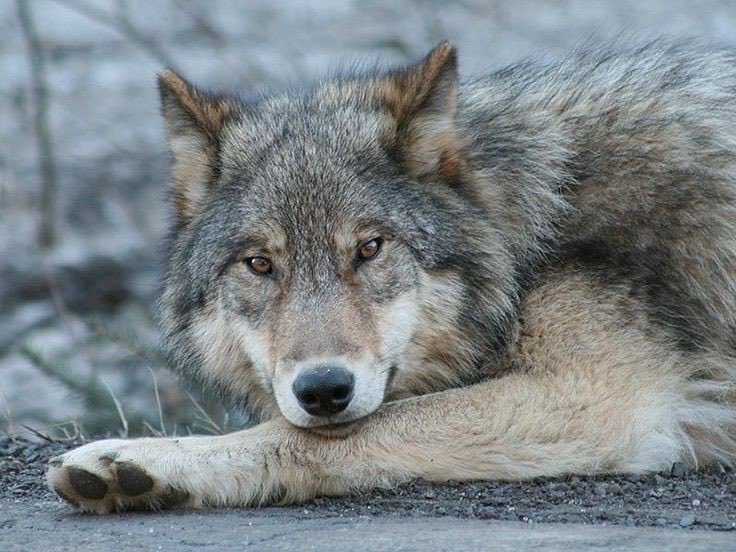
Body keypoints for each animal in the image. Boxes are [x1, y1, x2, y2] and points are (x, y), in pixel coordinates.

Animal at [47, 39, 736, 513]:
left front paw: (142, 460)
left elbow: (316, 437)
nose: (323, 389)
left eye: (370, 249)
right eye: (260, 264)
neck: (531, 231)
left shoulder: (586, 396)